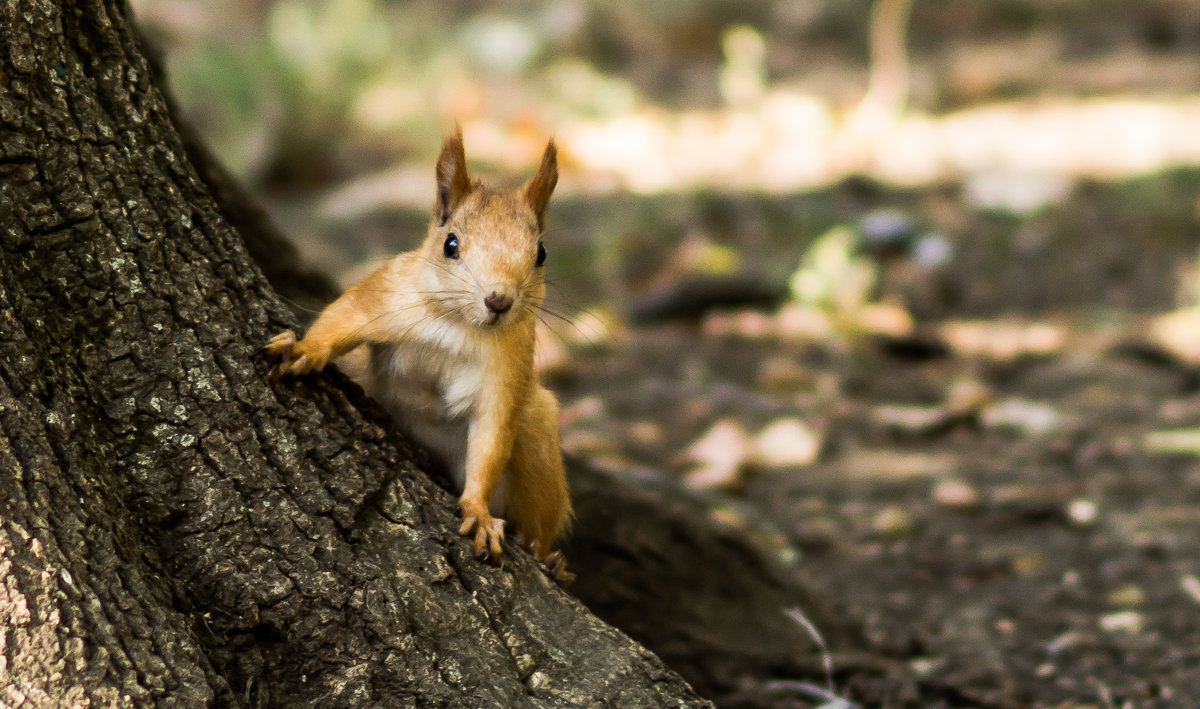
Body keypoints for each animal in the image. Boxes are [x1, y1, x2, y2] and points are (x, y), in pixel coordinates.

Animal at [261, 130, 576, 585]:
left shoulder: (507, 372)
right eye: (451, 245)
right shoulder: (385, 293)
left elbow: (491, 439)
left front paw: (478, 513)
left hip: (538, 433)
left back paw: (545, 555)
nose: (499, 301)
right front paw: (305, 349)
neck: (458, 325)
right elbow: (341, 320)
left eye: (541, 254)